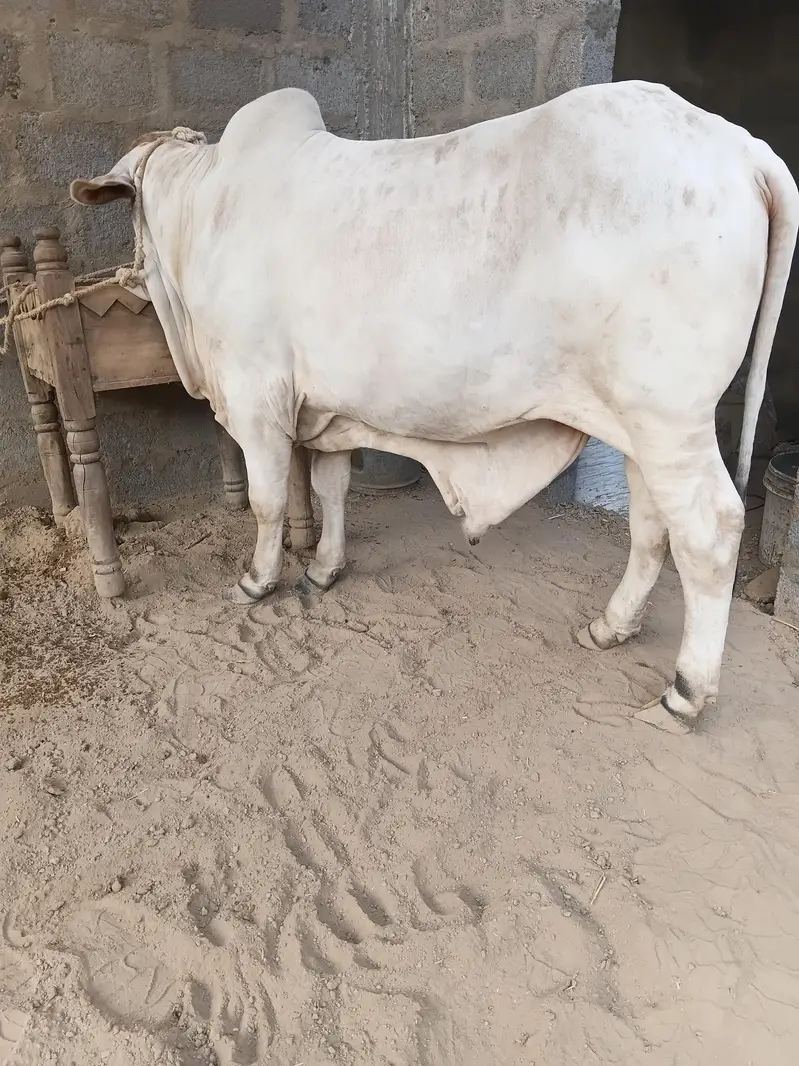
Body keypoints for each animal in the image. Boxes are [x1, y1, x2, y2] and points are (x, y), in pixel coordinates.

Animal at [70, 80, 798, 734]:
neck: (206, 208)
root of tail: (740, 147)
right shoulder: (328, 411)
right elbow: (331, 487)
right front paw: (324, 569)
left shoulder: (256, 397)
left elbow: (267, 501)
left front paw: (257, 580)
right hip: (641, 424)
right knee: (650, 523)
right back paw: (611, 626)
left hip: (669, 419)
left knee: (707, 533)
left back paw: (684, 693)